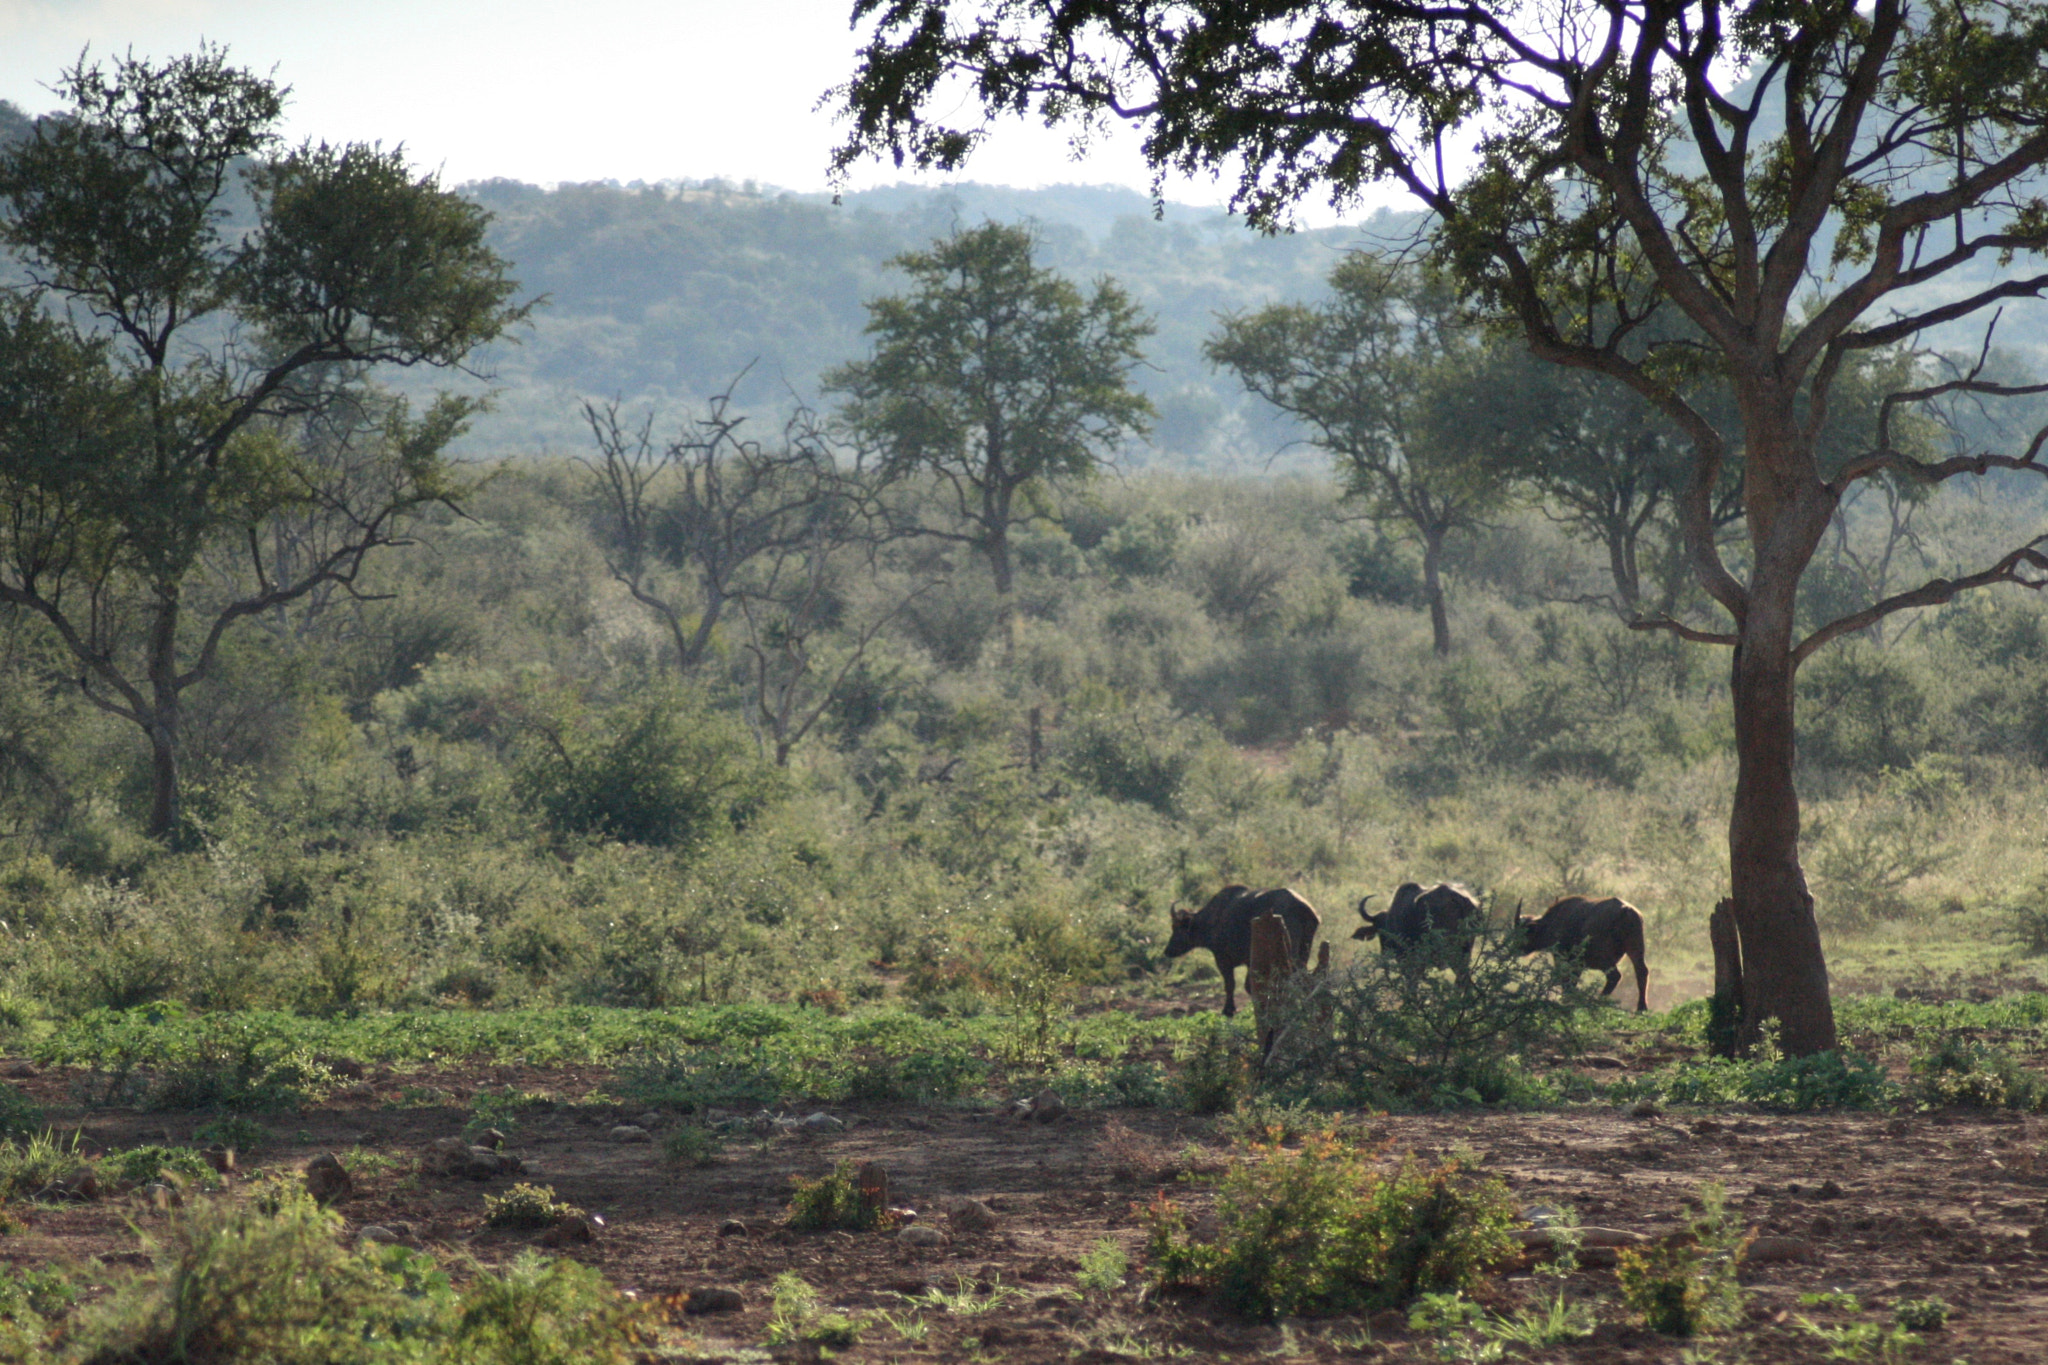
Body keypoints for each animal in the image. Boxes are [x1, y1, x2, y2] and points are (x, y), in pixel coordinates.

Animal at [1165, 885, 1320, 1016]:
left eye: (1176, 927)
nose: (1167, 951)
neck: (1214, 918)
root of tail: (1302, 907)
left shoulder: (1222, 959)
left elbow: (1231, 984)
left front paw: (1228, 1010)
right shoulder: (1248, 961)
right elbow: (1248, 985)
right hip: (1304, 950)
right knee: (1305, 977)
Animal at [1514, 896, 1650, 1011]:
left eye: (1523, 931)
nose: (1515, 947)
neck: (1552, 923)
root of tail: (1626, 911)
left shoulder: (1563, 959)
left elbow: (1566, 981)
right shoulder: (1577, 965)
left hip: (1603, 958)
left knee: (1614, 976)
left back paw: (1597, 1001)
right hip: (1635, 949)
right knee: (1641, 971)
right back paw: (1641, 1008)